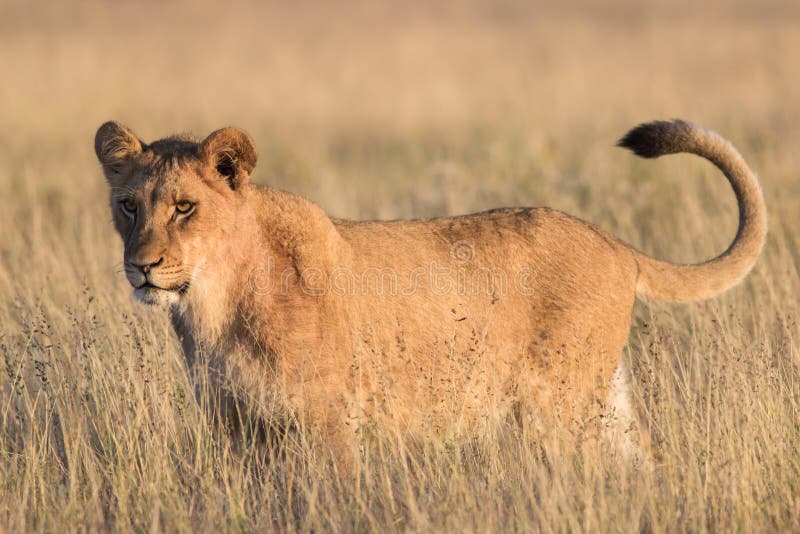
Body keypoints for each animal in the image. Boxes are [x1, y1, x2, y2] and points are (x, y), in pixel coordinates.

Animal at [95, 120, 768, 468]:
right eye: (129, 207)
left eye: (185, 207)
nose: (141, 267)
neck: (215, 304)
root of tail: (616, 242)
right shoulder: (238, 426)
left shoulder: (329, 422)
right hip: (602, 401)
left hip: (558, 404)